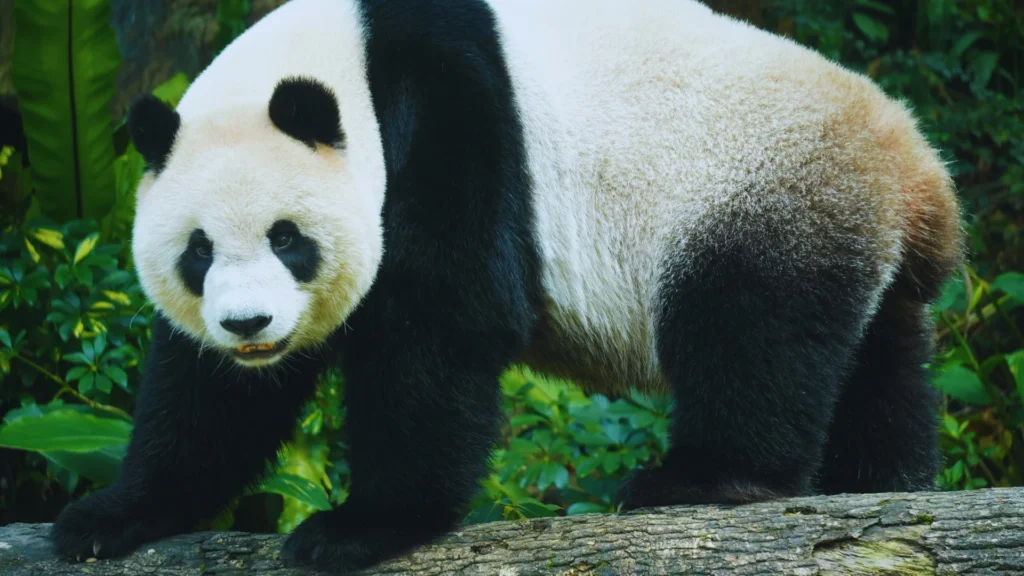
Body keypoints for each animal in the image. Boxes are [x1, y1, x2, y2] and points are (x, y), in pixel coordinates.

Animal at [51, 0, 964, 571]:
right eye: (198, 252)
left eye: (288, 239)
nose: (248, 325)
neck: (343, 52)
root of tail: (917, 173)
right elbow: (211, 396)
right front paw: (112, 516)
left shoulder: (450, 109)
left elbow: (443, 315)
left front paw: (361, 527)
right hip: (855, 239)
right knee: (878, 370)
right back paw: (885, 484)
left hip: (755, 190)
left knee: (753, 334)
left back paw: (706, 481)